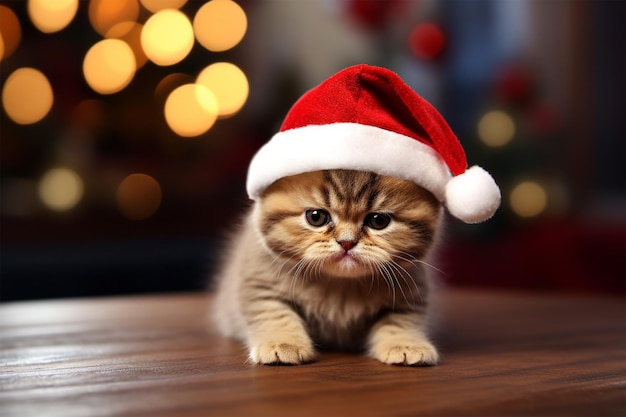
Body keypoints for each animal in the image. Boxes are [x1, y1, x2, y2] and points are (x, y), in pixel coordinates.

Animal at [212, 168, 442, 364]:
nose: (347, 242)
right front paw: (283, 343)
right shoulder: (259, 282)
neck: (340, 284)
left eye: (378, 220)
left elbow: (401, 320)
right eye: (316, 217)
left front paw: (406, 344)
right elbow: (274, 313)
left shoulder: (410, 292)